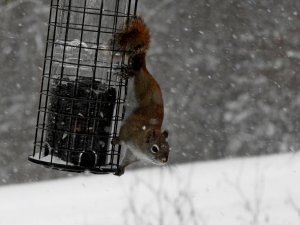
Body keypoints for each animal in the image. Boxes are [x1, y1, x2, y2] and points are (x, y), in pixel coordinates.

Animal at [111, 17, 170, 176]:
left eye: (168, 148)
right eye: (155, 148)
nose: (164, 161)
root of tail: (145, 70)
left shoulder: (133, 154)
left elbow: (126, 160)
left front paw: (120, 169)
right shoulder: (130, 130)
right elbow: (122, 136)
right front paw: (116, 141)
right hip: (139, 81)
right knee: (134, 71)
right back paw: (127, 73)